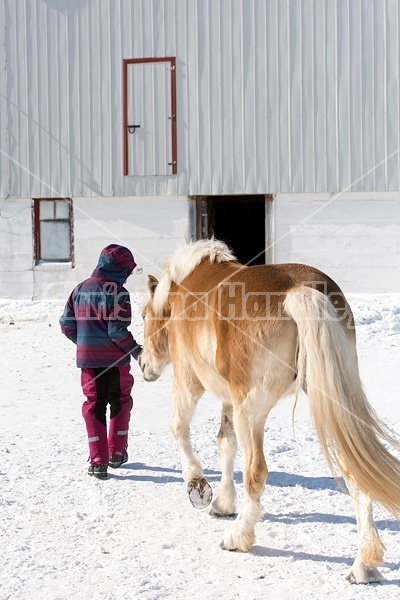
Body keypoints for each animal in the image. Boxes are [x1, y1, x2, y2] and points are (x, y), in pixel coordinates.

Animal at [138, 238, 400, 580]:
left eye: (144, 315)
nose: (142, 365)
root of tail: (300, 290)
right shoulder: (229, 398)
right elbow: (225, 442)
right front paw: (223, 503)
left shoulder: (189, 379)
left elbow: (179, 427)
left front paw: (198, 486)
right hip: (331, 403)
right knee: (357, 471)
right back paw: (363, 564)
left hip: (251, 410)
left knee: (256, 470)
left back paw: (237, 537)